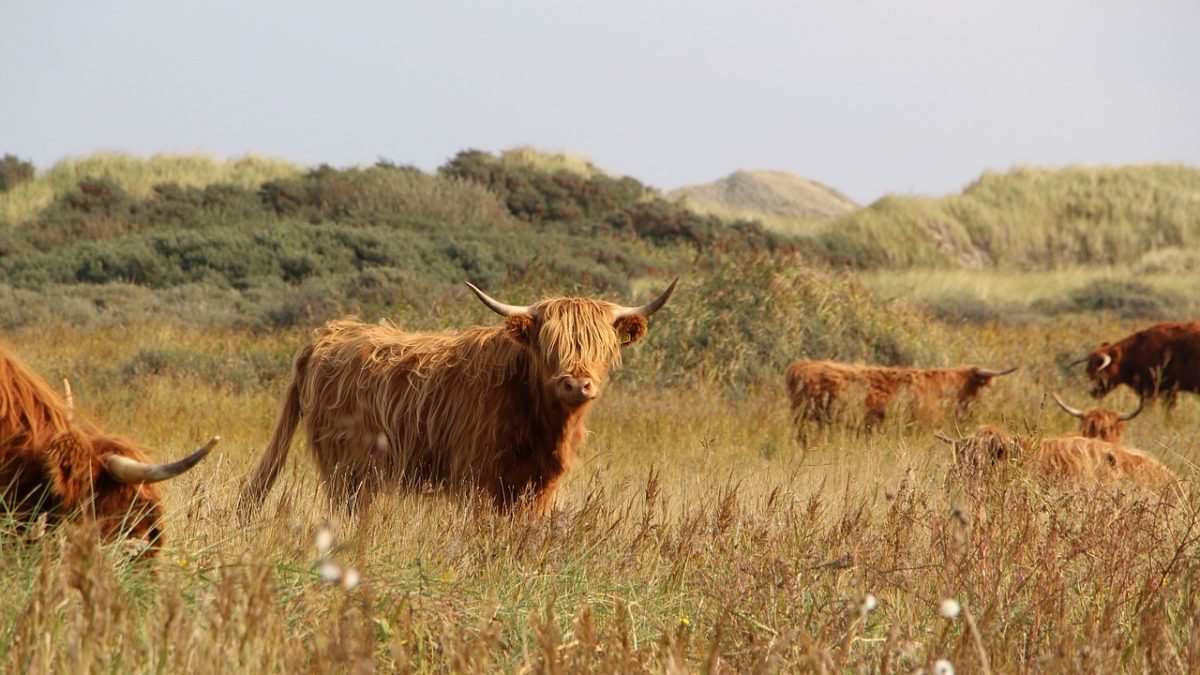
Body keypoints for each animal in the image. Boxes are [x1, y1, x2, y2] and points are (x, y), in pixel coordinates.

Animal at [238, 278, 681, 514]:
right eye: (549, 346)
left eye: (600, 346)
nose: (576, 384)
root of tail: (327, 335)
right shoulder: (478, 478)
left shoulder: (539, 487)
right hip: (348, 469)